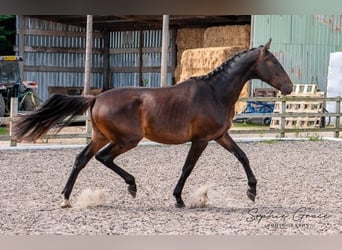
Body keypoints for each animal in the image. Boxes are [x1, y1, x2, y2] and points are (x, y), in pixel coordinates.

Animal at [13, 38, 292, 208]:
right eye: (274, 63)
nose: (289, 87)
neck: (215, 92)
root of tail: (96, 97)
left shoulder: (220, 136)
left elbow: (242, 156)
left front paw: (252, 191)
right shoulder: (201, 139)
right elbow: (187, 168)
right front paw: (178, 198)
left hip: (101, 137)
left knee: (81, 160)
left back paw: (66, 199)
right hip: (126, 140)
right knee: (103, 158)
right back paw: (131, 186)